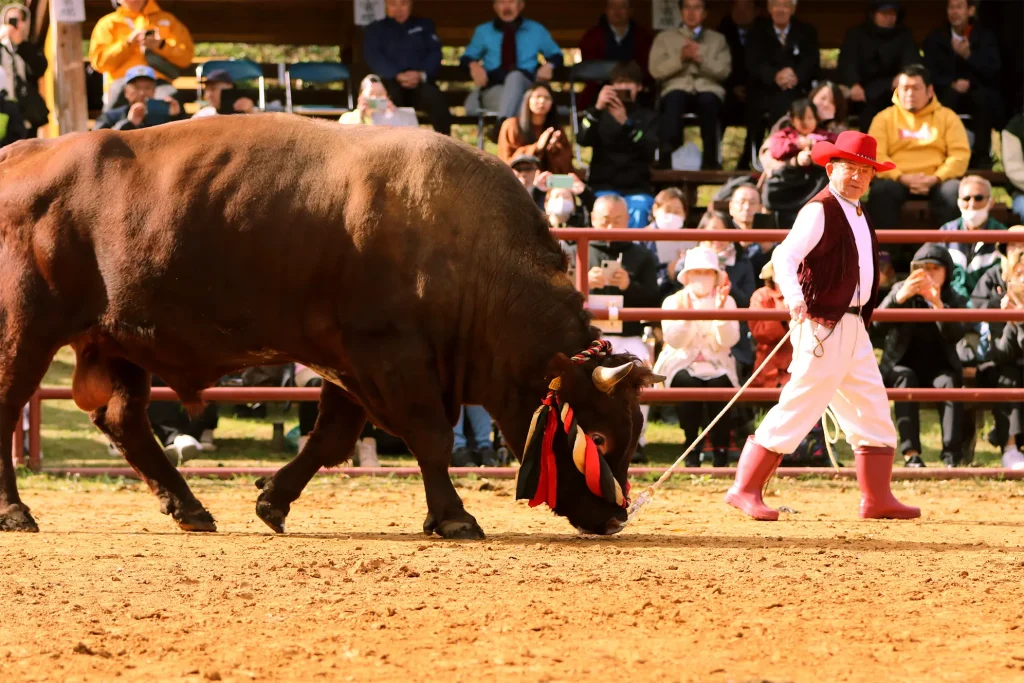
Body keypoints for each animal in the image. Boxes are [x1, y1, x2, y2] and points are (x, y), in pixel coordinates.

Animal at [0, 113, 655, 540]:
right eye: (598, 439)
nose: (616, 517)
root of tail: (20, 153)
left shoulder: (349, 367)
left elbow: (330, 440)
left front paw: (272, 502)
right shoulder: (391, 357)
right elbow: (430, 437)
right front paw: (454, 517)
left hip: (114, 344)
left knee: (125, 422)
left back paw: (190, 508)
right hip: (26, 333)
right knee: (11, 409)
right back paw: (16, 512)